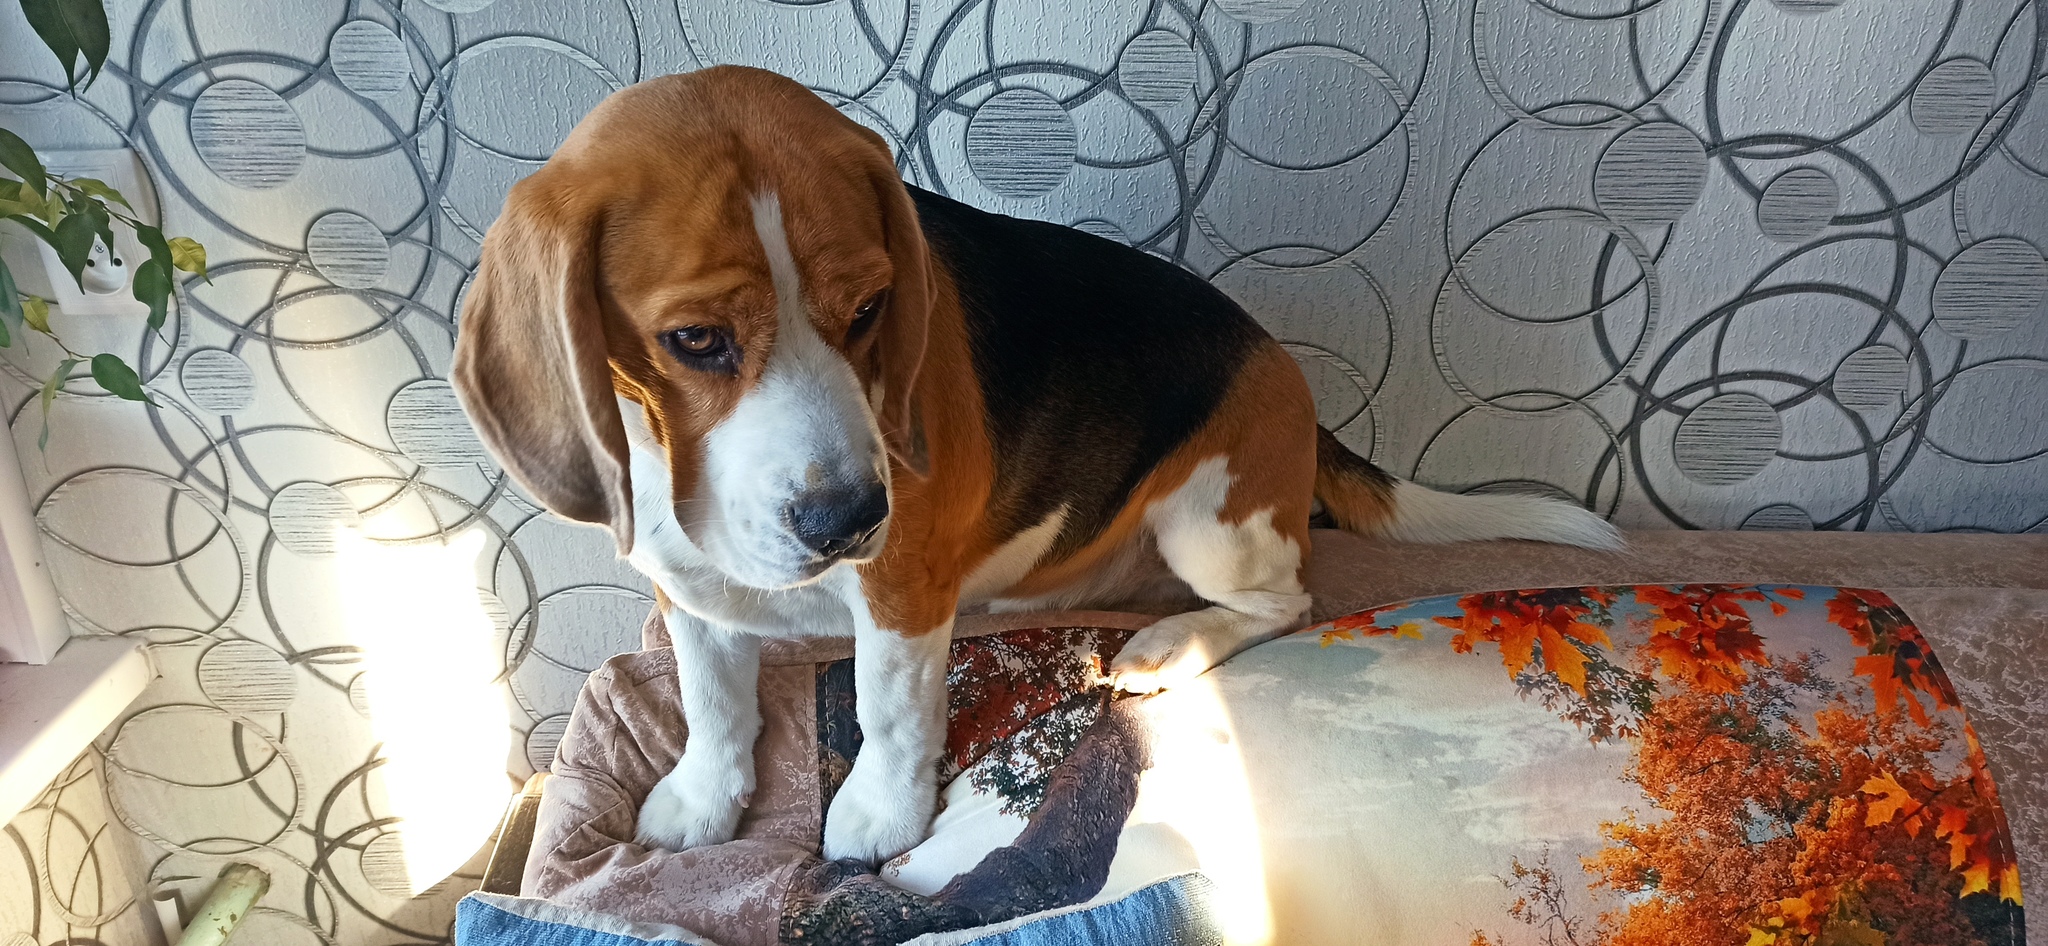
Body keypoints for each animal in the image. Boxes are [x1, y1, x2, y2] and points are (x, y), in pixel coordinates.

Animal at [450, 65, 1621, 866]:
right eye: (694, 340)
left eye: (870, 310)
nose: (851, 518)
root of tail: (1281, 366)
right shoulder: (685, 586)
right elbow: (713, 698)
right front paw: (704, 795)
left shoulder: (905, 583)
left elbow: (888, 708)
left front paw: (878, 815)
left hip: (1211, 523)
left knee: (1287, 600)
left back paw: (1167, 642)